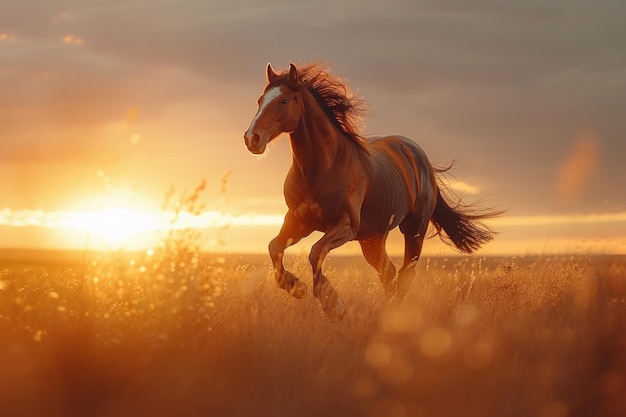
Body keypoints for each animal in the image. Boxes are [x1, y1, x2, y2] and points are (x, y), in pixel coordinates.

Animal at [241, 62, 500, 322]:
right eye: (260, 100)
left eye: (284, 100)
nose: (252, 139)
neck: (322, 167)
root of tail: (418, 155)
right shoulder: (299, 221)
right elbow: (274, 247)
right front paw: (297, 287)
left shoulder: (345, 225)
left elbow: (315, 252)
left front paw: (333, 305)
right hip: (372, 238)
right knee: (389, 272)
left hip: (414, 229)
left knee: (405, 273)